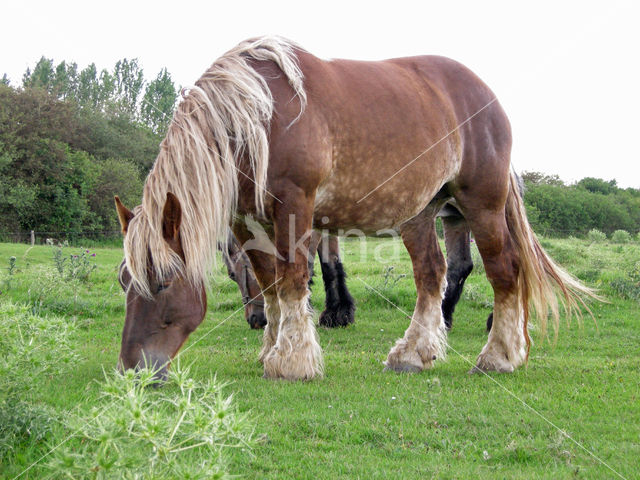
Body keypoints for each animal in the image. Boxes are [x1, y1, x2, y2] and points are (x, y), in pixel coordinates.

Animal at [115, 36, 596, 382]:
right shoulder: (246, 222)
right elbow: (270, 285)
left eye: (162, 282)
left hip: (481, 203)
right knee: (432, 273)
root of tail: (485, 95)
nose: (132, 369)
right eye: (124, 281)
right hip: (420, 213)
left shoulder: (295, 206)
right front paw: (271, 348)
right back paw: (412, 354)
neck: (258, 118)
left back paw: (499, 356)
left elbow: (293, 280)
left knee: (504, 270)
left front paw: (293, 362)